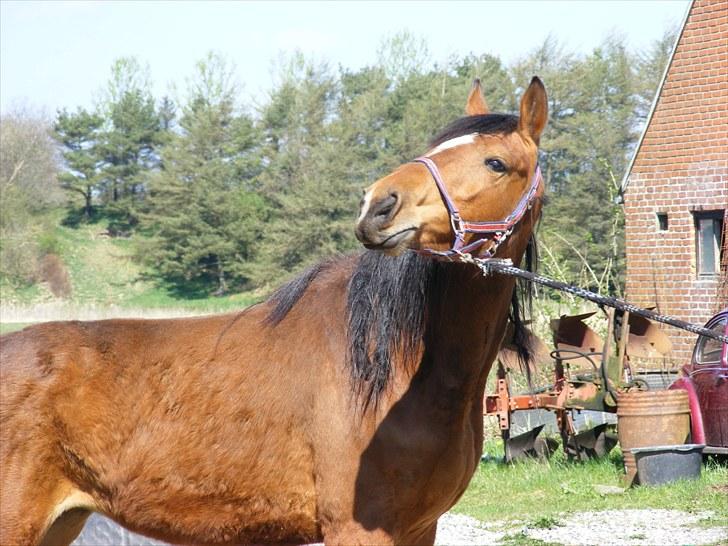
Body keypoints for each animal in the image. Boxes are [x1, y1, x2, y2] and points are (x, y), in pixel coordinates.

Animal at [0, 77, 544, 544]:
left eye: (496, 163)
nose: (378, 206)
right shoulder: (358, 530)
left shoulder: (419, 529)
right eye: (433, 149)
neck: (399, 368)